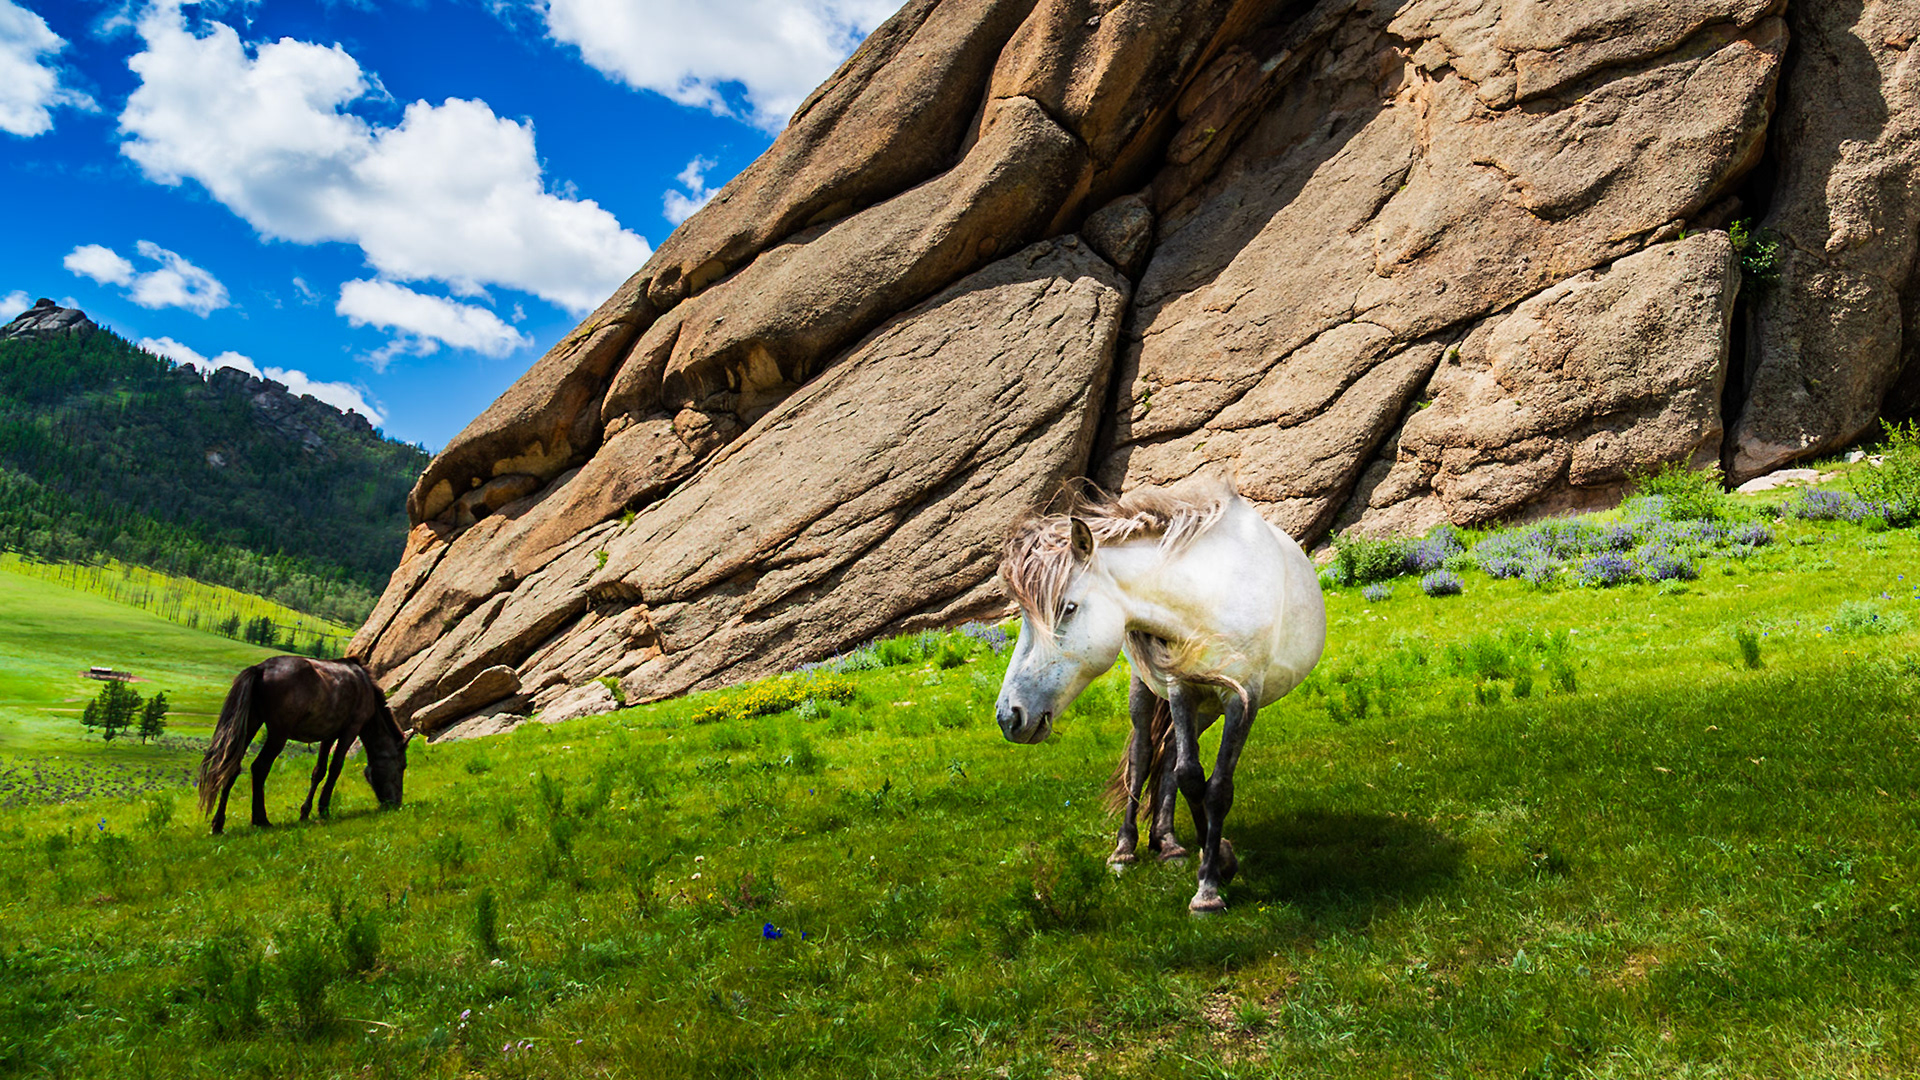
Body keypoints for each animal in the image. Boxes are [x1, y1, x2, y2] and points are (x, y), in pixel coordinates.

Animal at [197, 656, 413, 835]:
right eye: (402, 766)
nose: (396, 803)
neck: (363, 684)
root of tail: (261, 669)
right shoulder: (350, 730)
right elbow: (335, 769)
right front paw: (323, 809)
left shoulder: (328, 735)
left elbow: (319, 771)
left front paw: (305, 812)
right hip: (278, 735)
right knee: (259, 768)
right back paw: (261, 819)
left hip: (251, 724)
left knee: (231, 767)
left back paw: (218, 824)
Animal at [994, 474, 1326, 912]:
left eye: (1068, 608)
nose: (1009, 716)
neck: (1211, 595)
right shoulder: (1181, 687)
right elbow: (1189, 776)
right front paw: (1217, 862)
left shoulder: (1242, 697)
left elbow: (1215, 786)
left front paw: (1210, 881)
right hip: (1152, 692)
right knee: (1144, 755)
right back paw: (1126, 849)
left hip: (1206, 706)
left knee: (1167, 754)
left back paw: (1167, 843)